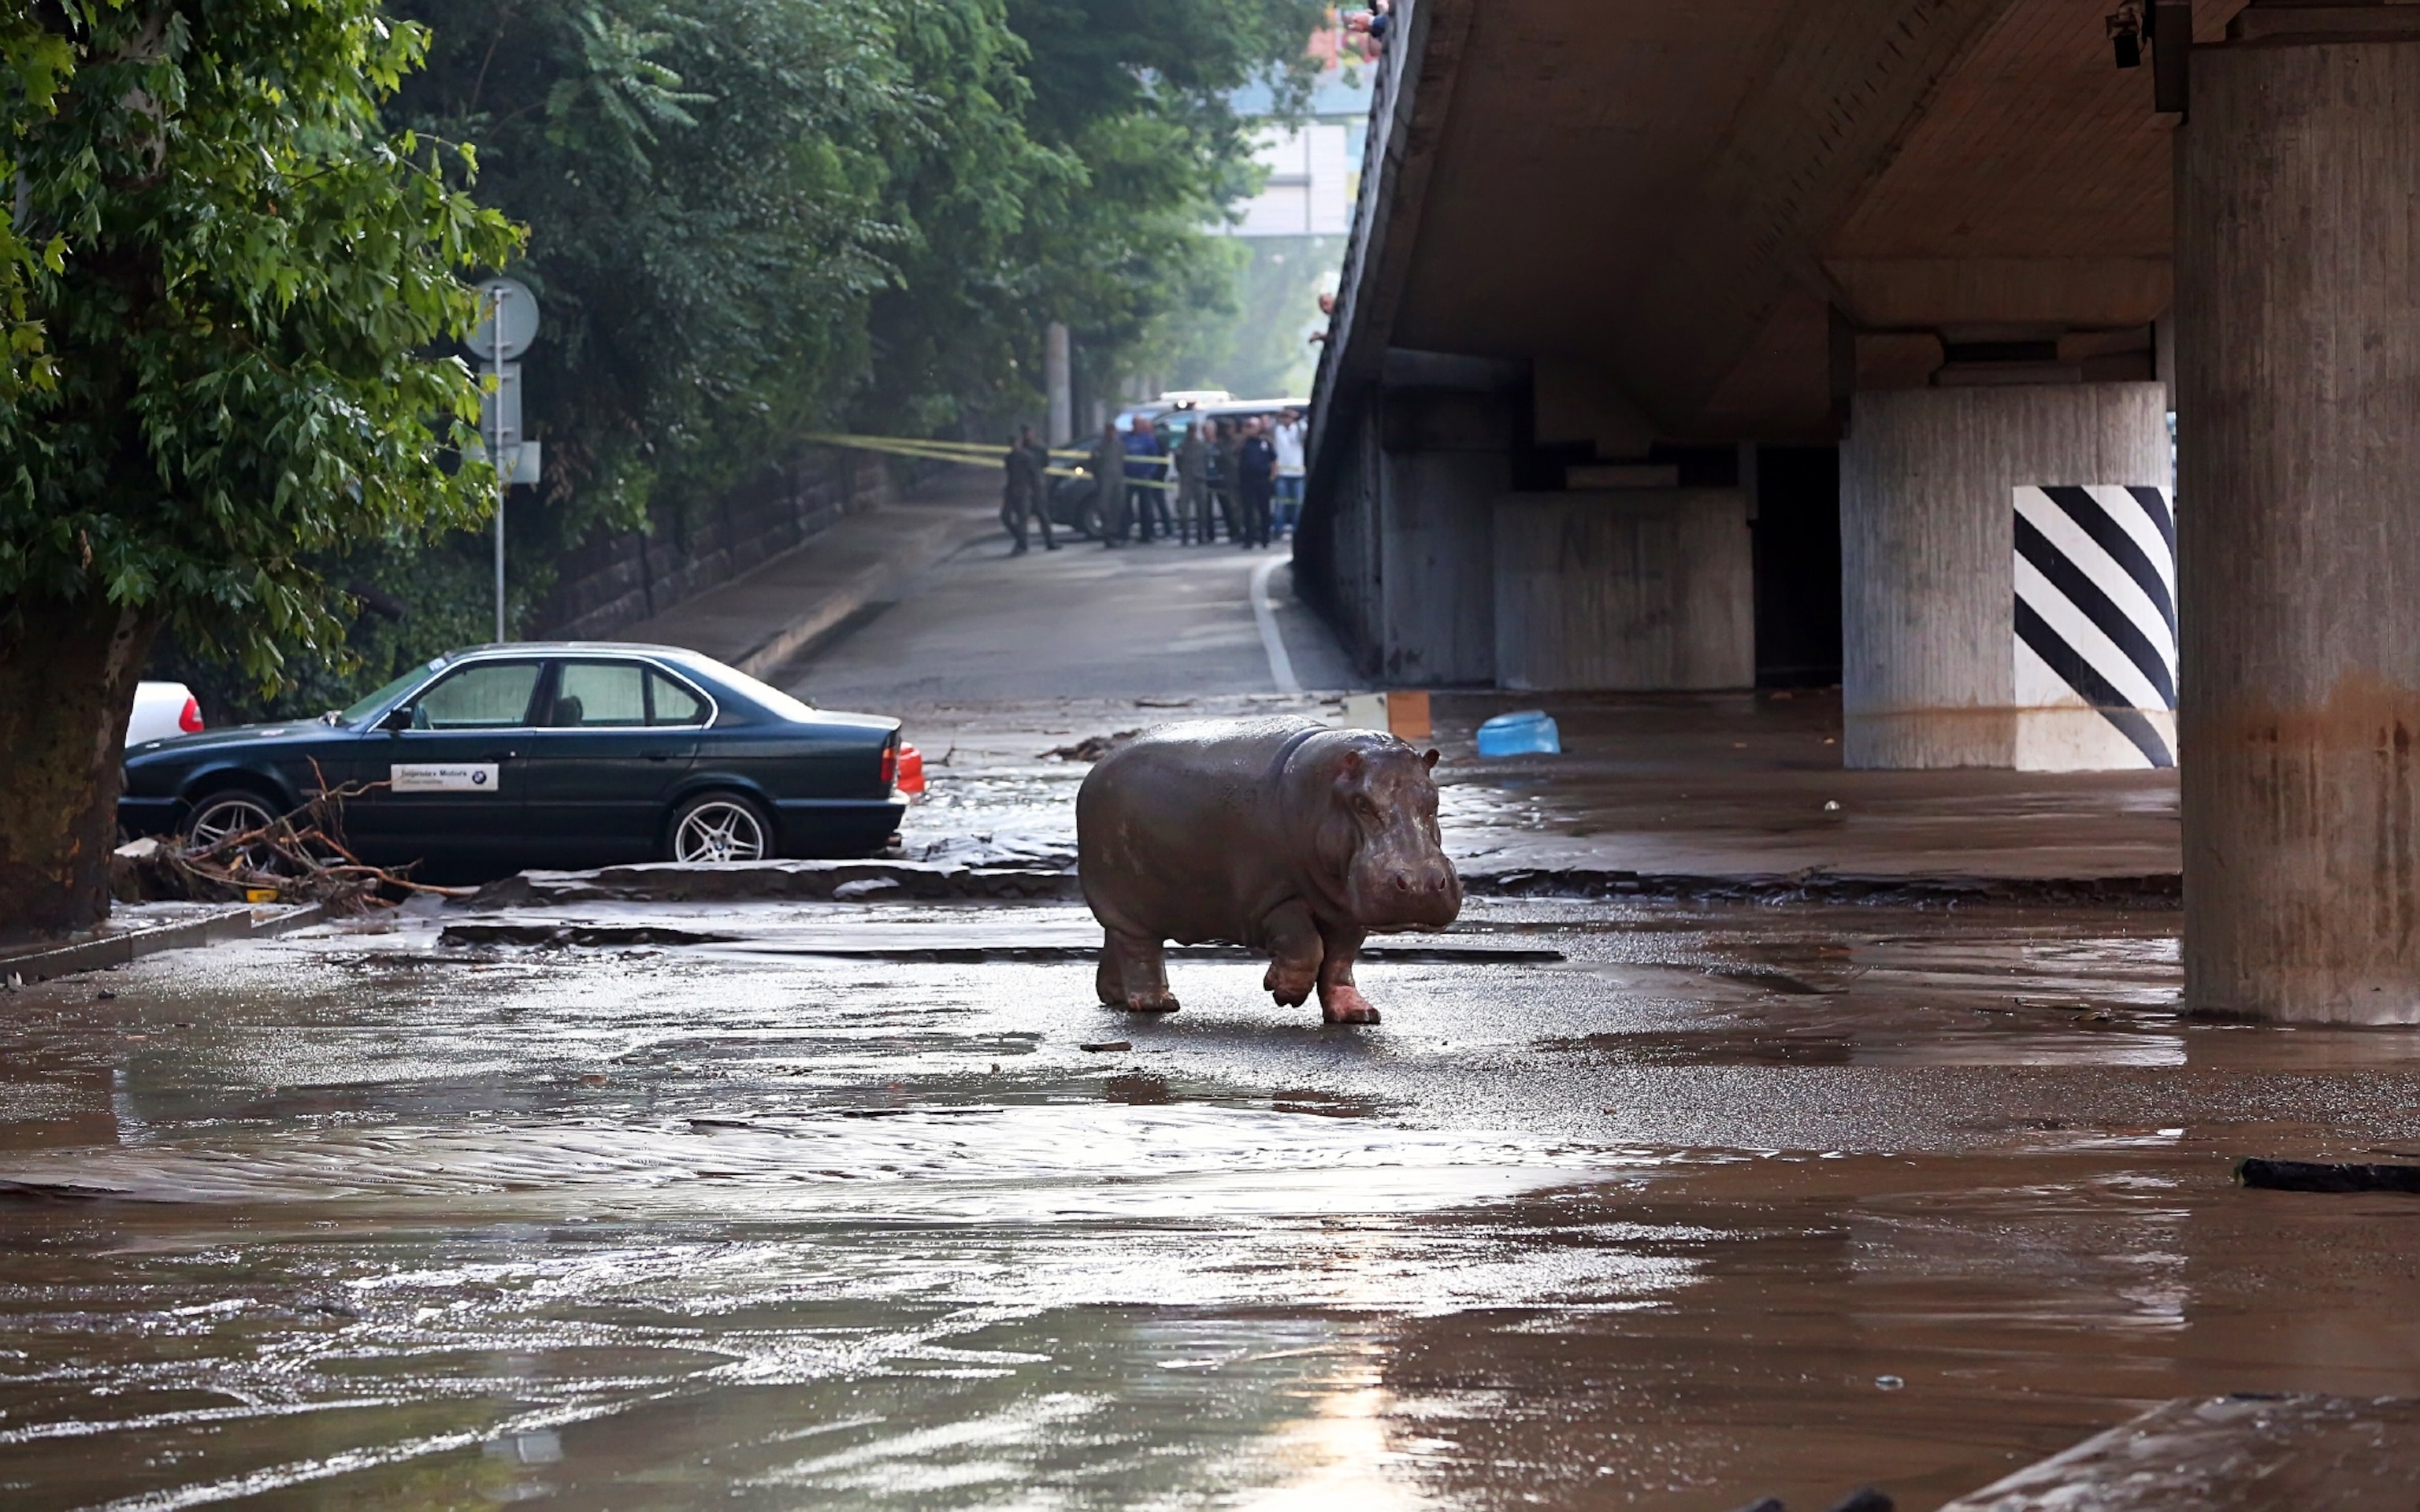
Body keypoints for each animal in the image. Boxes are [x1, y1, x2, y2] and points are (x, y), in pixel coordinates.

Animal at [1076, 717, 1462, 1024]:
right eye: (1361, 803)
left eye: (1434, 798)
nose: (1421, 884)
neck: (1324, 790)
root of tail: (1097, 767)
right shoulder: (1272, 898)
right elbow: (1306, 946)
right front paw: (1283, 993)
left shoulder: (1346, 910)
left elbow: (1339, 962)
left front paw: (1358, 1014)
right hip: (1128, 904)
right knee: (1141, 953)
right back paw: (1158, 1003)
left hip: (1126, 911)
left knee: (1117, 945)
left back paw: (1114, 995)